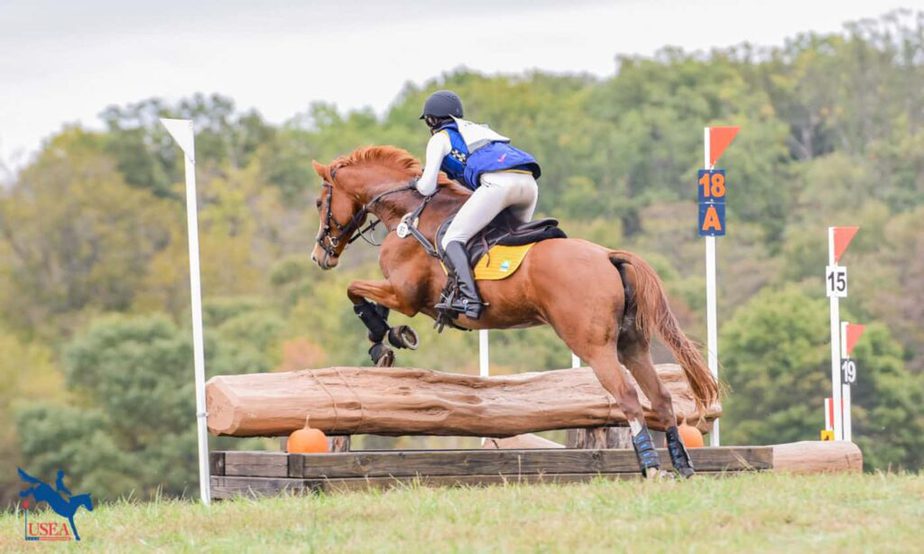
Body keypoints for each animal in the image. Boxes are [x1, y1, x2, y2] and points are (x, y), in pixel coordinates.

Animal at [314, 146, 720, 474]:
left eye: (320, 203)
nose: (320, 255)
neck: (410, 214)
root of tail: (608, 255)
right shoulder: (404, 295)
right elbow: (364, 297)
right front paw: (389, 338)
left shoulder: (406, 296)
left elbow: (356, 292)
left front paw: (384, 336)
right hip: (631, 344)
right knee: (661, 398)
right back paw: (683, 467)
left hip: (593, 346)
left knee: (628, 398)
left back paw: (651, 467)